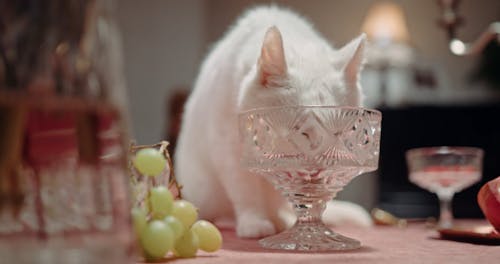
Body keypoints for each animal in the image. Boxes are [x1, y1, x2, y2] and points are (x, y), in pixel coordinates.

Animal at [174, 5, 374, 238]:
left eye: (338, 134)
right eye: (301, 132)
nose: (317, 169)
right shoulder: (228, 147)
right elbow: (245, 191)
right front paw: (254, 222)